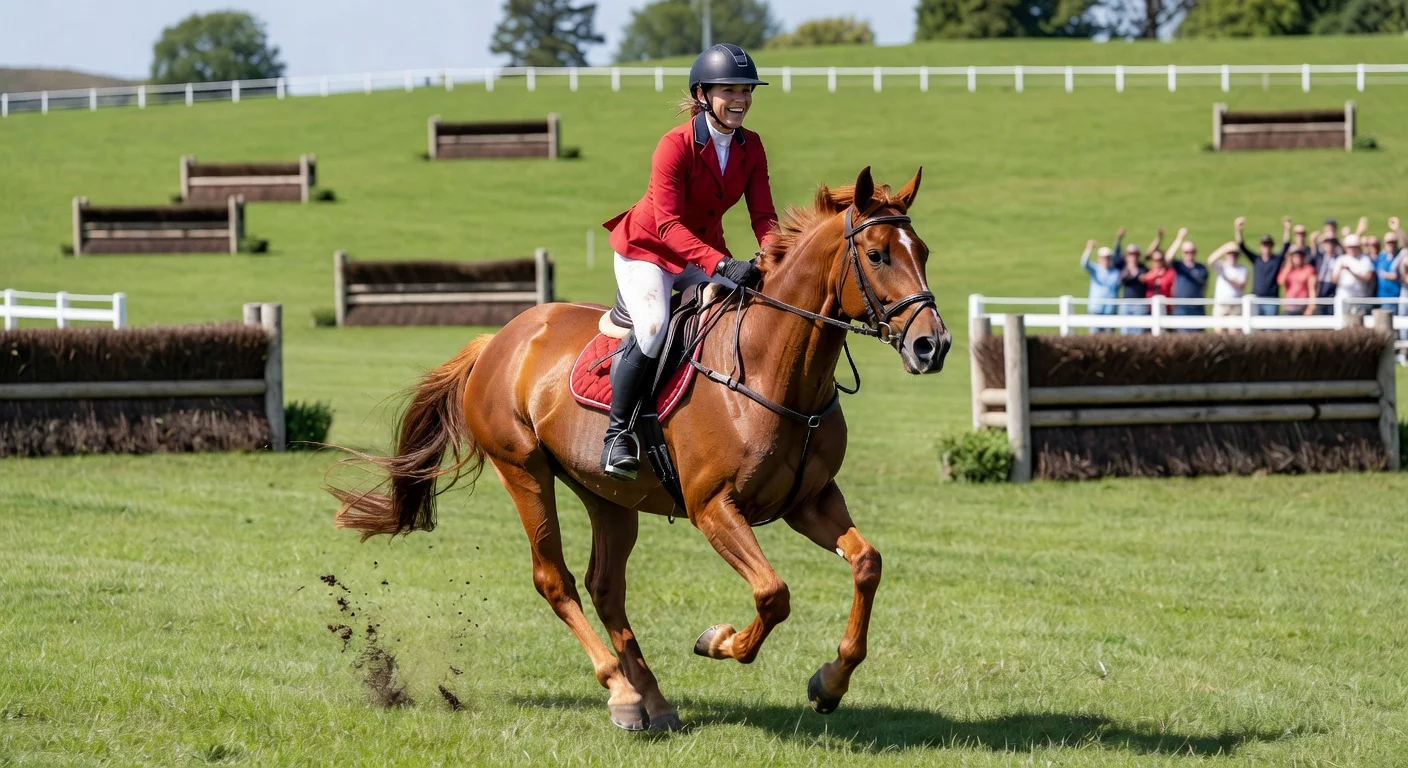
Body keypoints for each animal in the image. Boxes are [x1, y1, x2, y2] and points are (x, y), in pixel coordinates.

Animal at [330, 166, 952, 732]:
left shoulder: (810, 501)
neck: (776, 370)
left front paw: (829, 683)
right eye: (877, 255)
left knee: (606, 587)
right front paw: (718, 640)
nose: (933, 346)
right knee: (555, 579)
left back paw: (651, 700)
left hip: (607, 493)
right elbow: (773, 594)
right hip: (523, 470)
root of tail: (501, 338)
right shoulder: (713, 507)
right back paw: (621, 692)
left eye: (922, 250)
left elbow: (866, 564)